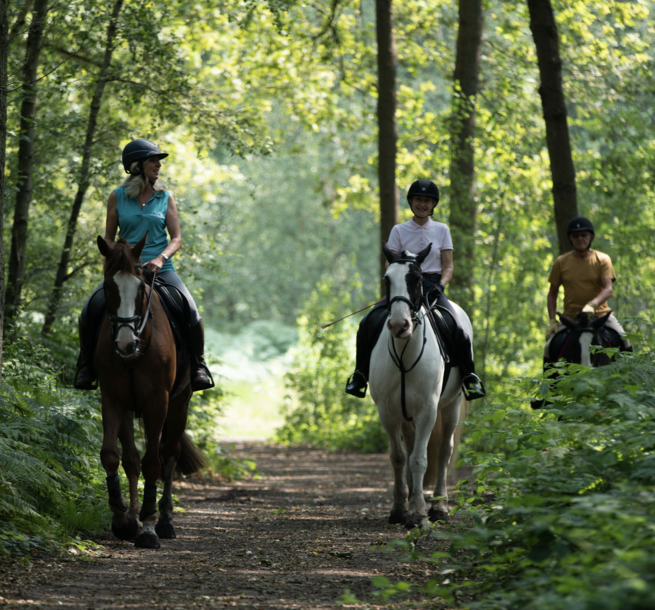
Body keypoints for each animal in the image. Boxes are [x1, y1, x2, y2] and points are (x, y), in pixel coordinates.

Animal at [95, 232, 205, 548]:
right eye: (109, 287)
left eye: (140, 289)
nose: (125, 344)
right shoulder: (113, 400)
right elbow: (112, 455)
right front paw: (123, 519)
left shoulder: (158, 404)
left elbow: (153, 463)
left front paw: (148, 528)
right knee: (131, 459)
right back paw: (133, 516)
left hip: (179, 405)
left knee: (169, 455)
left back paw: (165, 521)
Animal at [372, 242, 468, 528]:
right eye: (386, 279)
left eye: (417, 280)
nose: (398, 325)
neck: (405, 354)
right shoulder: (387, 412)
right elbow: (399, 458)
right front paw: (399, 509)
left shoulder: (428, 411)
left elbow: (419, 459)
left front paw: (417, 513)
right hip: (406, 415)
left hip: (452, 405)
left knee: (444, 451)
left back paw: (438, 506)